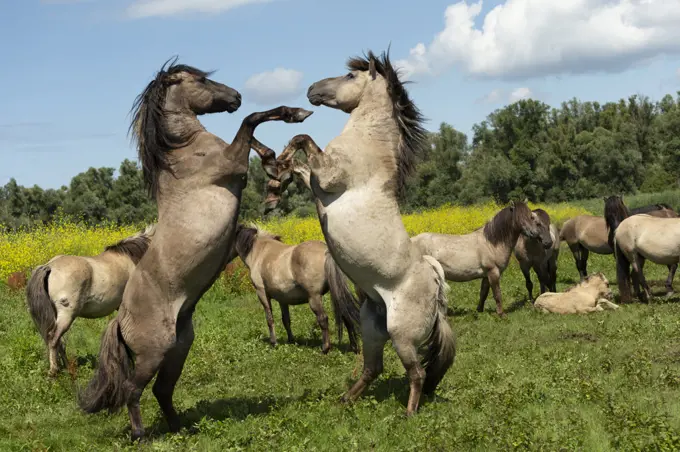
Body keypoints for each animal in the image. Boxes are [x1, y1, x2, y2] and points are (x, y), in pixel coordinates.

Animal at [25, 226, 155, 378]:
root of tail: (49, 266)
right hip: (67, 315)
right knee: (54, 338)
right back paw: (54, 371)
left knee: (58, 341)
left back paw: (68, 367)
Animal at [78, 57, 312, 442]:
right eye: (201, 81)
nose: (235, 95)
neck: (184, 151)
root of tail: (120, 322)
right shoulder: (232, 164)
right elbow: (250, 121)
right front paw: (293, 116)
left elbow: (253, 134)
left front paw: (276, 161)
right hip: (153, 354)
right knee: (132, 390)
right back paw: (141, 434)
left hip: (178, 349)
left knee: (162, 391)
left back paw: (181, 428)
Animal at [230, 224, 362, 354]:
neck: (260, 252)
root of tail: (326, 251)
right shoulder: (282, 299)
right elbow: (286, 320)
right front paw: (291, 340)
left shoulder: (262, 293)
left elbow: (269, 319)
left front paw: (274, 343)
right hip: (336, 292)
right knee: (346, 314)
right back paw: (353, 347)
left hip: (314, 297)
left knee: (323, 318)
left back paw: (325, 348)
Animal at [268, 49, 454, 416]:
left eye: (351, 76)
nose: (311, 89)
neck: (368, 143)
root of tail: (435, 284)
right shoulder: (316, 180)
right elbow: (300, 163)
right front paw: (278, 171)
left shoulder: (327, 177)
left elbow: (304, 140)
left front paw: (279, 163)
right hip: (372, 327)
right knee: (372, 368)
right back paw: (345, 399)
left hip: (401, 334)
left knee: (417, 372)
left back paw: (409, 413)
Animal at [410, 202, 552, 318]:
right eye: (519, 217)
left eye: (531, 216)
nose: (534, 234)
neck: (492, 243)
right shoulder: (493, 272)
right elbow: (497, 294)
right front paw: (501, 314)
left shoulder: (486, 275)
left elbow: (483, 293)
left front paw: (479, 311)